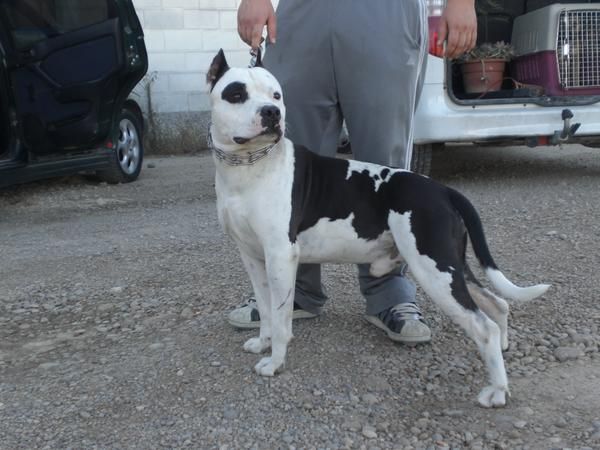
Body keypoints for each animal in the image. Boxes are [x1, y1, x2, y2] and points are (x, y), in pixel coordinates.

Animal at [206, 50, 548, 408]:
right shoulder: (253, 258)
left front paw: (275, 361)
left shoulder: (280, 256)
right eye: (236, 94)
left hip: (433, 269)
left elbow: (282, 316)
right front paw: (263, 342)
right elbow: (266, 309)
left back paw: (496, 389)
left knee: (484, 327)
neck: (250, 166)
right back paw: (504, 349)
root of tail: (443, 191)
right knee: (498, 304)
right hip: (450, 265)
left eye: (276, 96)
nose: (271, 113)